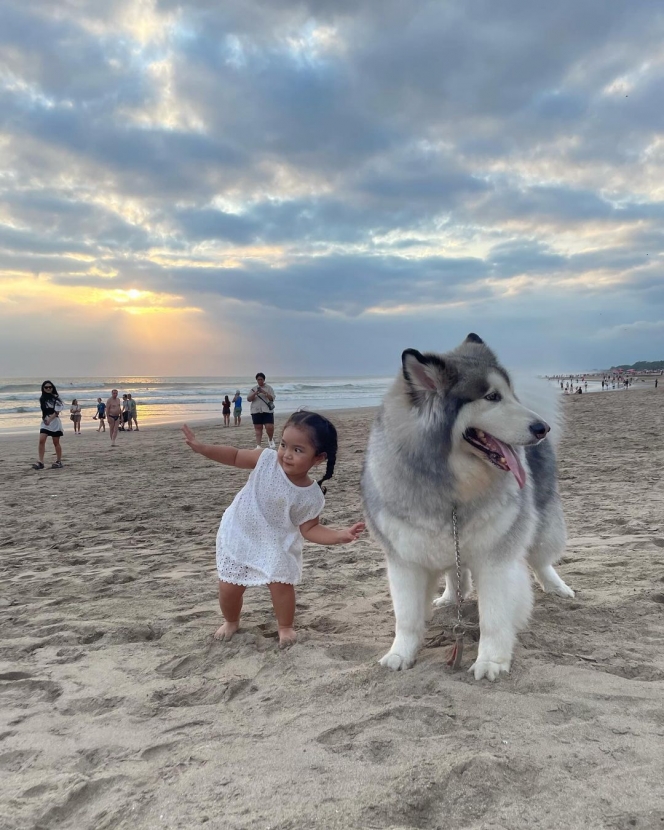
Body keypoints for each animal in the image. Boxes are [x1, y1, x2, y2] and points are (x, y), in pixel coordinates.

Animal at [360, 332, 572, 684]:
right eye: (492, 397)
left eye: (511, 395)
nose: (542, 429)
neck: (452, 489)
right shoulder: (405, 559)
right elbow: (407, 616)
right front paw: (401, 654)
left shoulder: (496, 559)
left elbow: (494, 618)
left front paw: (491, 661)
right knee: (454, 573)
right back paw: (449, 597)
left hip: (540, 524)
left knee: (541, 559)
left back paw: (557, 587)